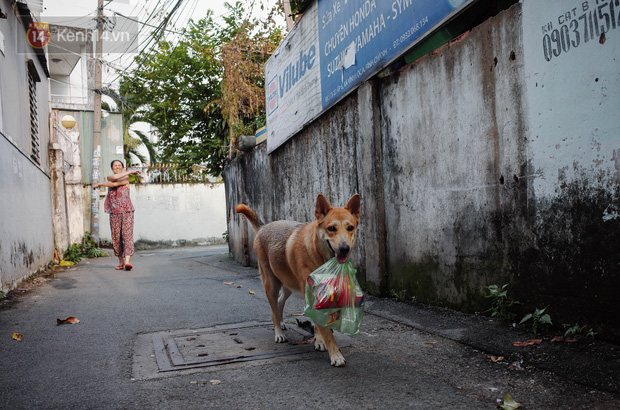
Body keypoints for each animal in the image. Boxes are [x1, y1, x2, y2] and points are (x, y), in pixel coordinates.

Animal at [235, 194, 360, 366]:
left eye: (350, 228)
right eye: (331, 228)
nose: (344, 248)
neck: (319, 254)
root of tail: (263, 227)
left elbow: (318, 324)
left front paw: (319, 341)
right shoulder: (311, 294)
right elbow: (325, 330)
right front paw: (335, 354)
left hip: (288, 284)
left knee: (280, 302)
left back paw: (281, 322)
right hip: (271, 284)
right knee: (274, 308)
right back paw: (278, 332)